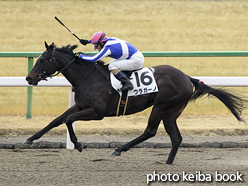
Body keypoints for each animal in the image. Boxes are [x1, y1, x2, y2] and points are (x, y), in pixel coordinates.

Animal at [24, 42, 245, 164]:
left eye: (42, 59)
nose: (29, 78)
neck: (89, 77)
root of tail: (186, 77)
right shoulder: (80, 105)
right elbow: (56, 121)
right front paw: (30, 139)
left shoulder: (97, 112)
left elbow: (69, 119)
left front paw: (78, 144)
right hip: (172, 112)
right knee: (176, 138)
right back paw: (167, 163)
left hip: (162, 106)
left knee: (150, 131)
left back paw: (119, 149)